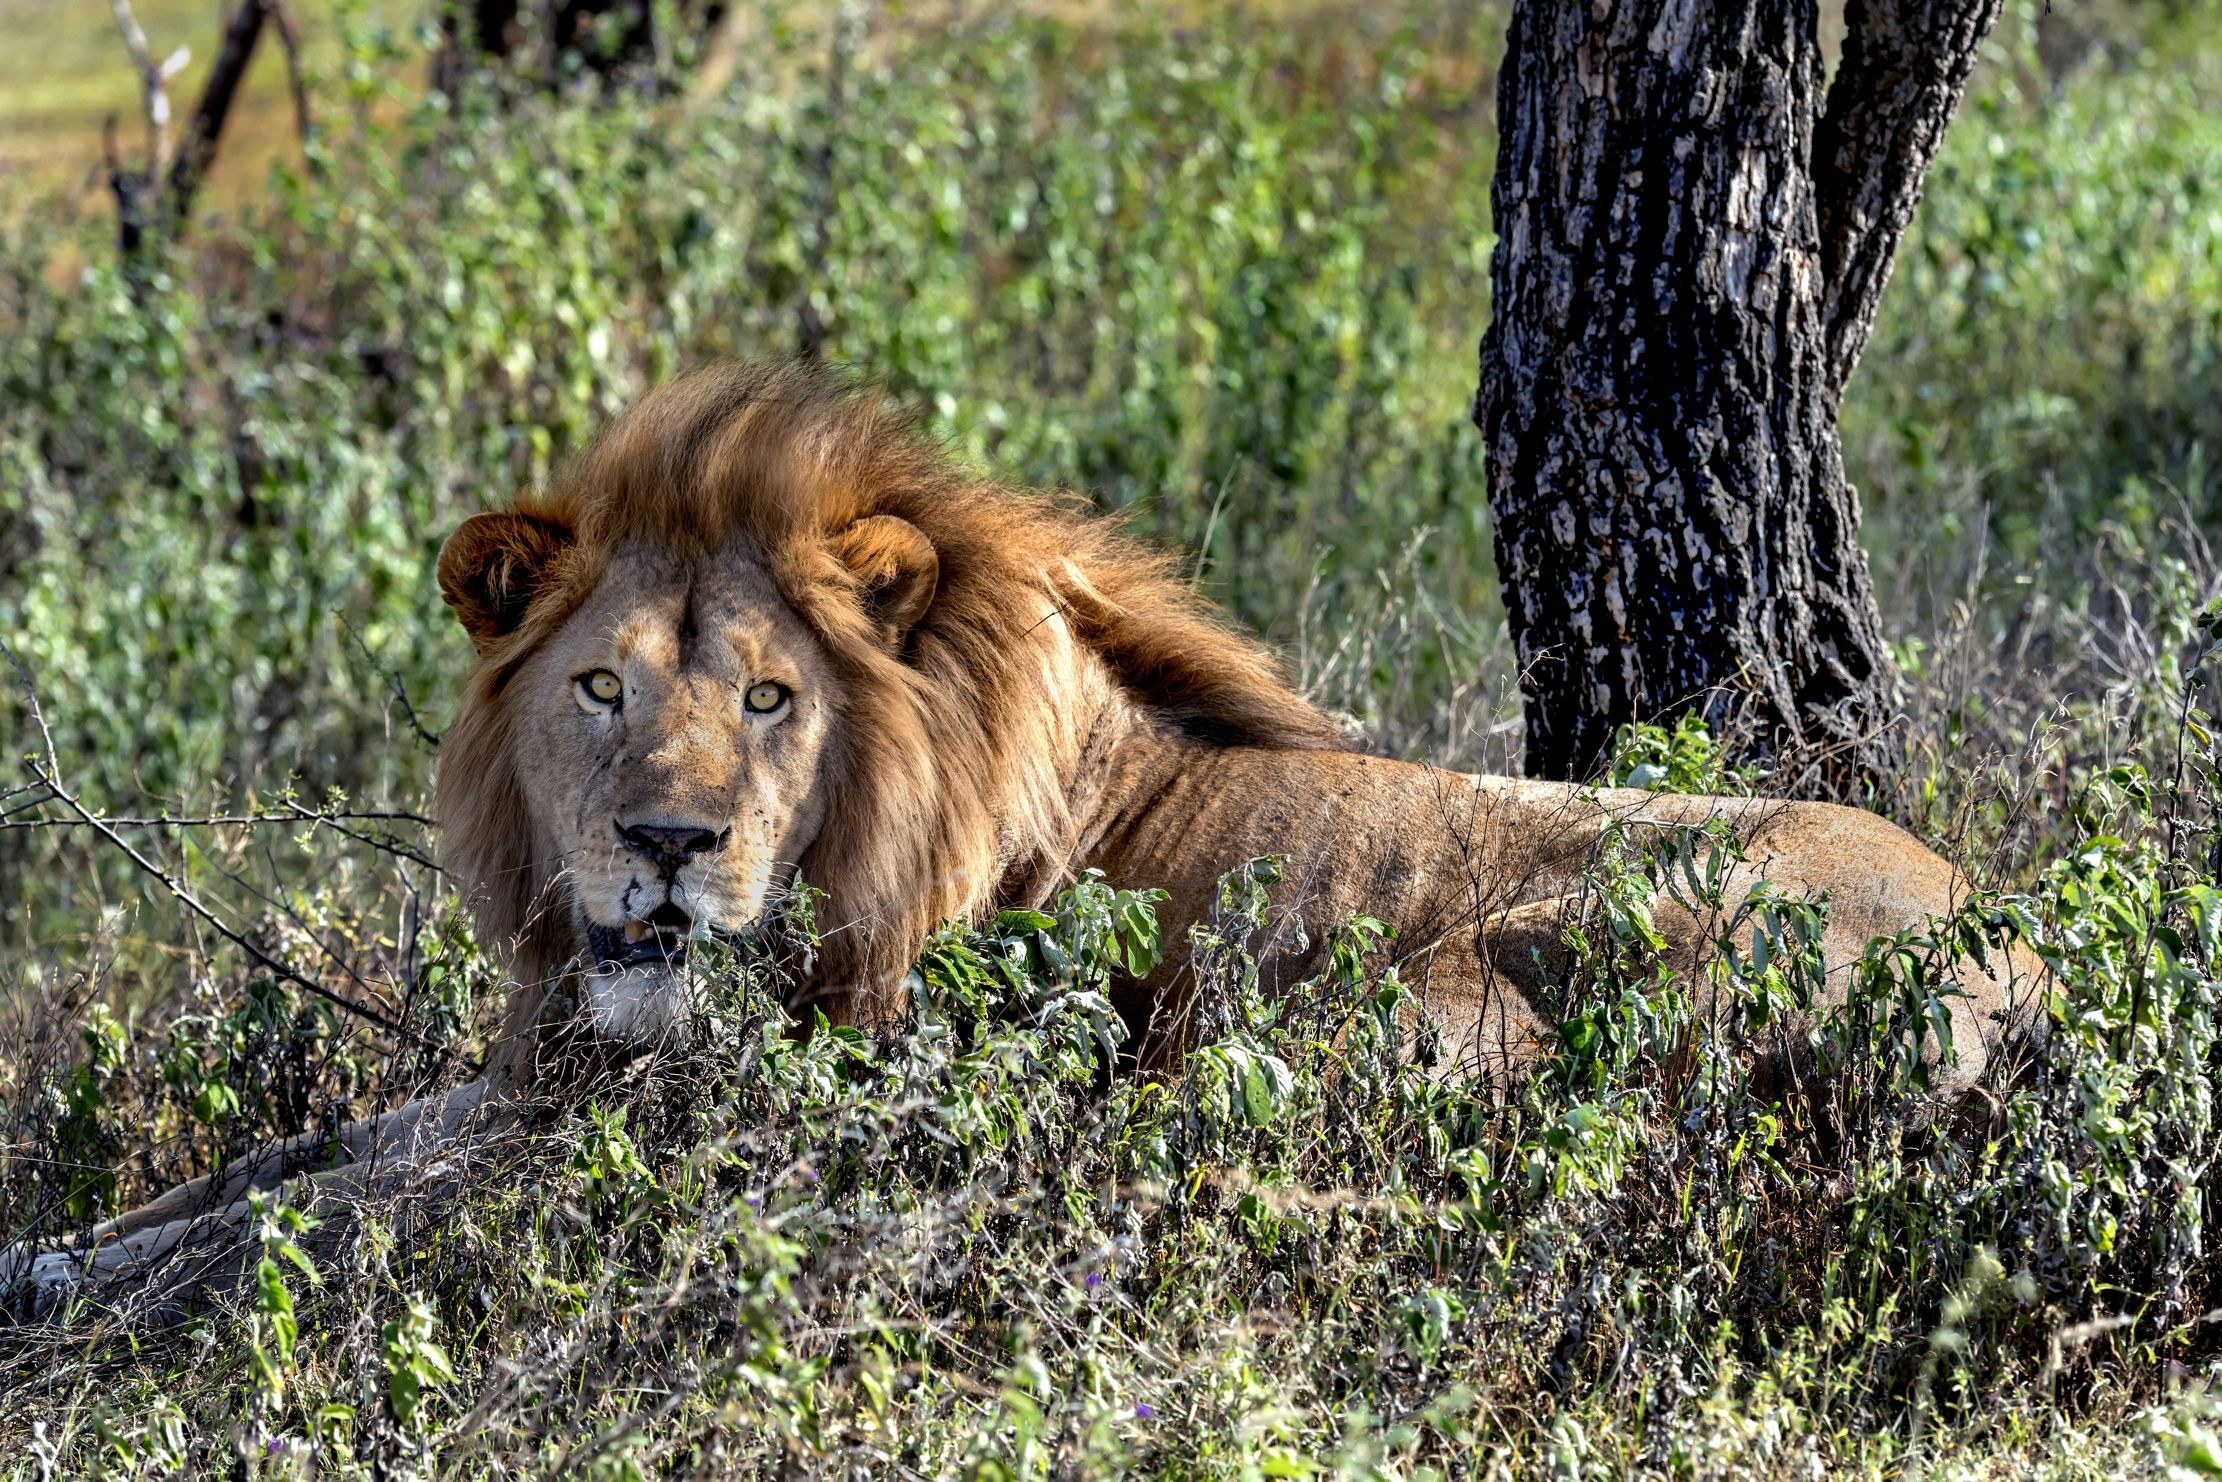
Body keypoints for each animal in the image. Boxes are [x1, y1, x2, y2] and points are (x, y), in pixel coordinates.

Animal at [5, 360, 2038, 1315]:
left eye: (771, 699)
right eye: (595, 688)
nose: (666, 842)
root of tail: (2022, 973)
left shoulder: (683, 1107)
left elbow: (315, 1210)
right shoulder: (549, 1069)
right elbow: (270, 1163)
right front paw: (55, 1254)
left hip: (1442, 990)